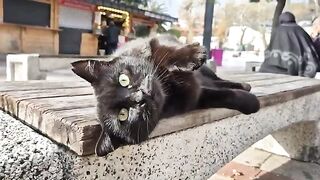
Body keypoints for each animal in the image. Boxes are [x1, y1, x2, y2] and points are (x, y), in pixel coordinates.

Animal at [70, 34, 260, 156]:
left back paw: (244, 84)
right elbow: (223, 96)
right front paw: (252, 103)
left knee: (217, 79)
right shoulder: (196, 98)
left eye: (123, 79)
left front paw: (195, 53)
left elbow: (166, 53)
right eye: (123, 115)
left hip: (207, 72)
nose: (140, 96)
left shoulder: (151, 44)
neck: (168, 88)